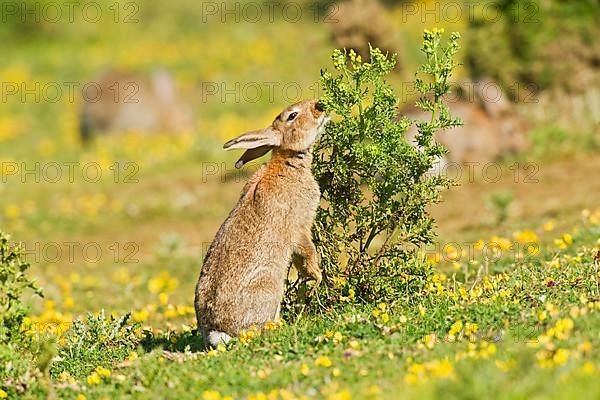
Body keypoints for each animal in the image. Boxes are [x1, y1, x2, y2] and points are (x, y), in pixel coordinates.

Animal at [196, 97, 328, 346]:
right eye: (292, 116)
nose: (320, 105)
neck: (288, 161)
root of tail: (218, 331)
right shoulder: (300, 227)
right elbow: (307, 253)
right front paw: (317, 277)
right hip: (269, 287)